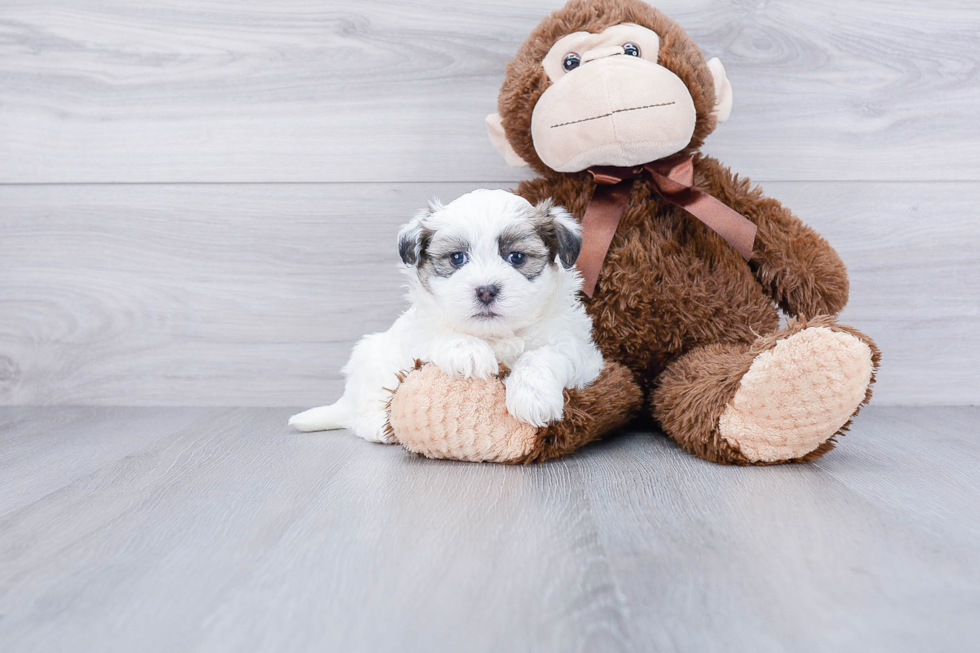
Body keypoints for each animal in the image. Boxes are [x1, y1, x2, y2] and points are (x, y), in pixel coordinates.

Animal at [288, 188, 600, 444]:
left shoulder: (579, 350)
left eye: (517, 258)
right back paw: (381, 427)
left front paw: (532, 397)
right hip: (370, 361)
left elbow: (542, 356)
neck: (494, 335)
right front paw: (469, 352)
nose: (486, 290)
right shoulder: (417, 332)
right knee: (363, 413)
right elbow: (438, 333)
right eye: (457, 258)